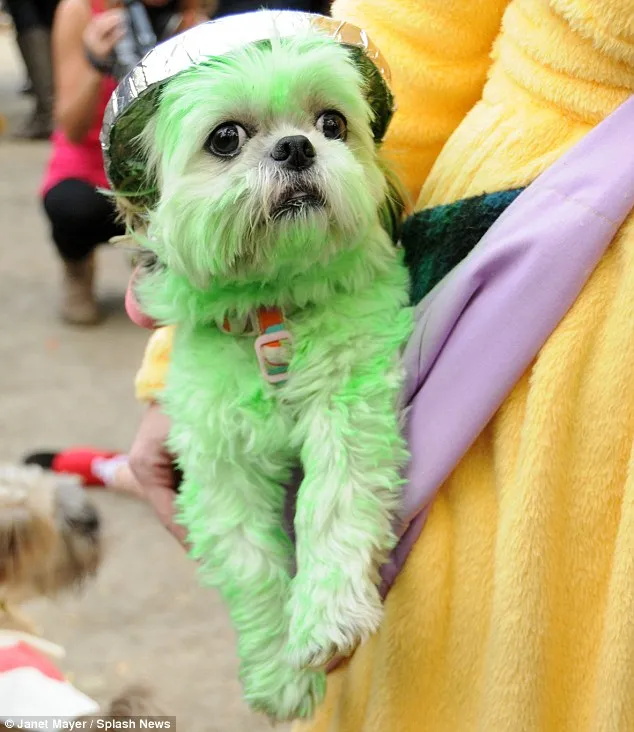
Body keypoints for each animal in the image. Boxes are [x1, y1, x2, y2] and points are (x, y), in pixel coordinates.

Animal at [118, 15, 412, 720]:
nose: (297, 148)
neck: (273, 311)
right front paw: (279, 671)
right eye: (226, 138)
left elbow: (331, 504)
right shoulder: (219, 464)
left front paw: (326, 618)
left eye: (332, 123)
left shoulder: (348, 405)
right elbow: (249, 562)